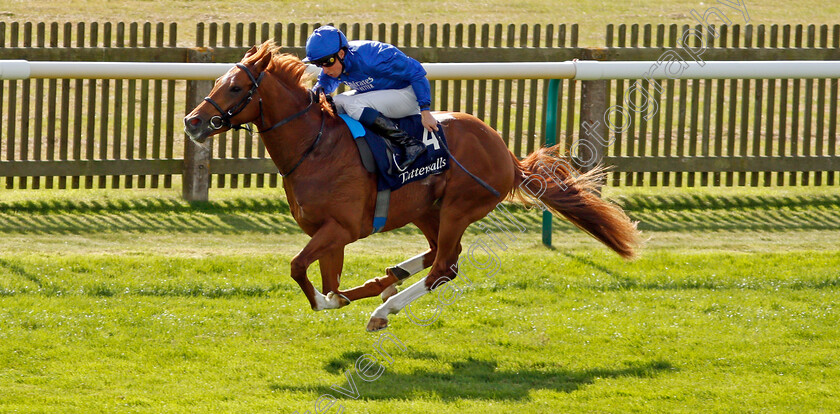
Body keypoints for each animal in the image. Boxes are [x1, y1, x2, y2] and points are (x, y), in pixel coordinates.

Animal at [184, 42, 640, 332]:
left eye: (236, 87)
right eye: (217, 82)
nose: (192, 121)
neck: (315, 146)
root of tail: (505, 154)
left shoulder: (341, 229)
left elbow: (306, 276)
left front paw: (344, 299)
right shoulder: (329, 234)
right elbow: (330, 283)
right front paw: (368, 286)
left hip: (459, 207)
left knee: (444, 267)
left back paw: (385, 309)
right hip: (425, 209)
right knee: (440, 254)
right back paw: (393, 277)